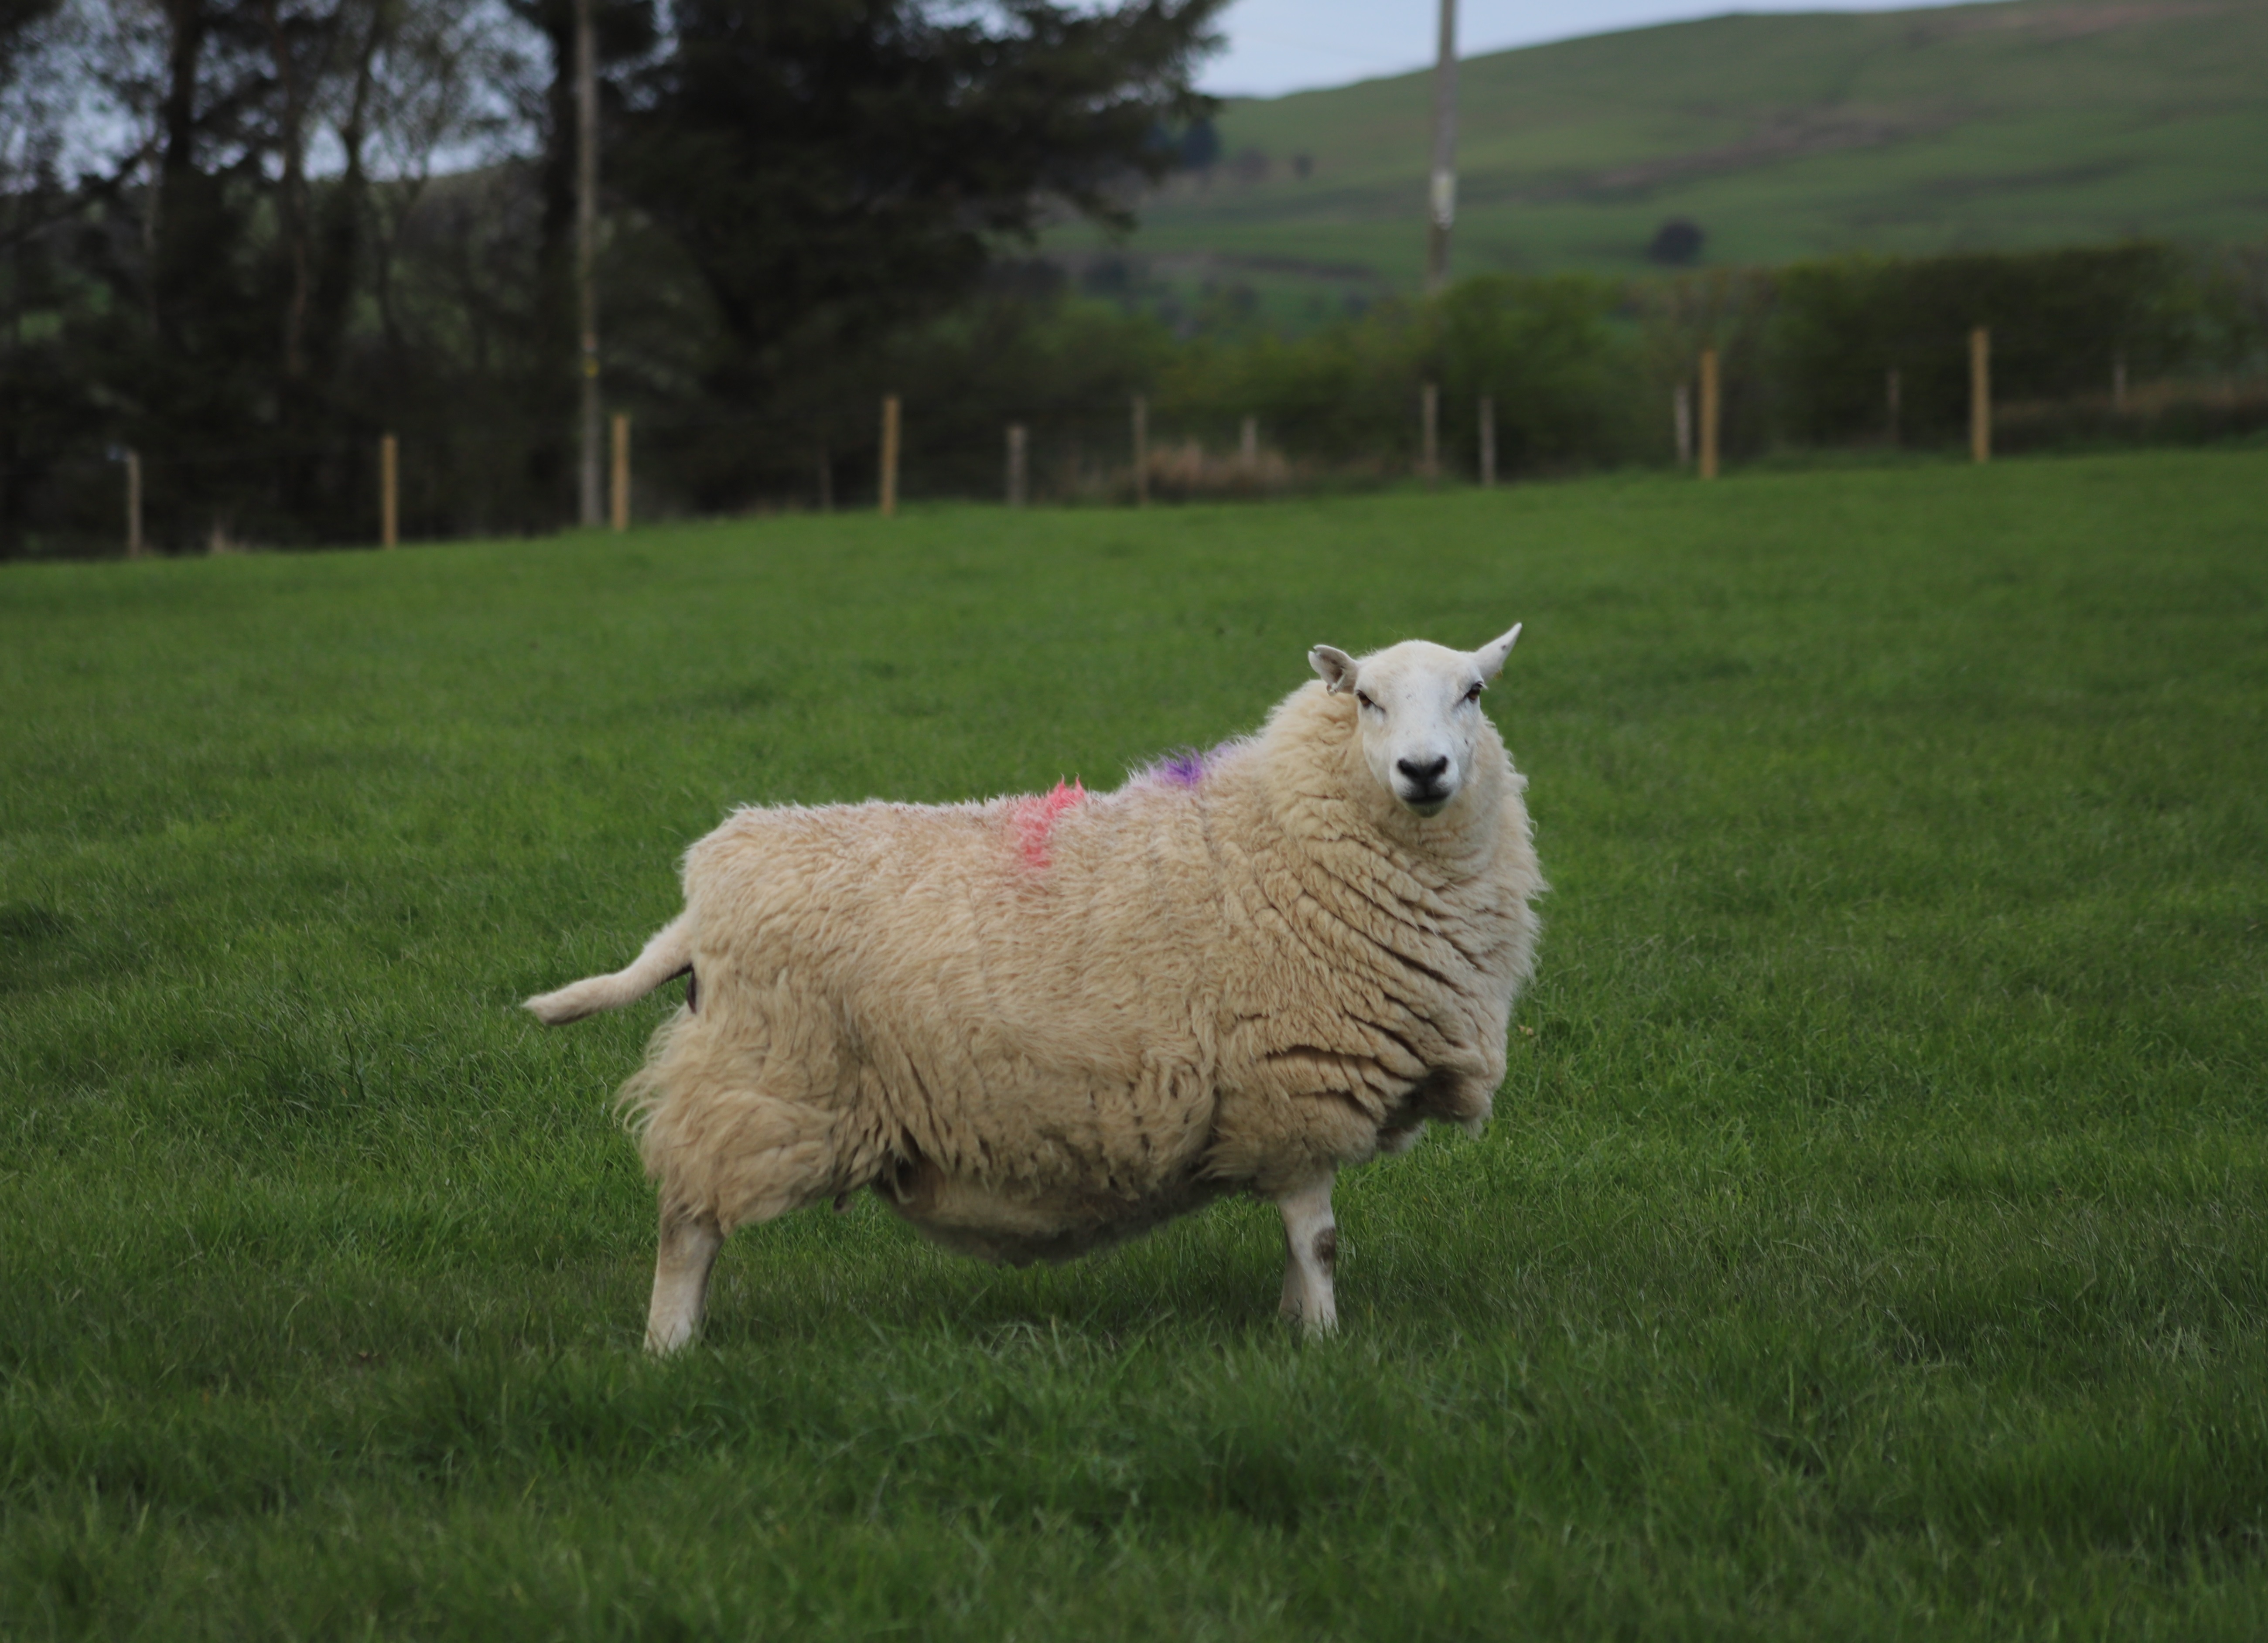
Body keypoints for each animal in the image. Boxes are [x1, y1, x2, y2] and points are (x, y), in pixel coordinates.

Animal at [527, 626, 1544, 1351]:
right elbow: (1317, 1238)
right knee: (688, 1228)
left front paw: (1293, 1327)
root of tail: (705, 885)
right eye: (1366, 700)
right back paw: (669, 1352)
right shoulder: (1296, 1083)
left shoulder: (1287, 1105)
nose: (1424, 771)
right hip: (760, 1081)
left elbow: (1302, 1245)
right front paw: (1324, 1346)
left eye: (1474, 693)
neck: (1287, 838)